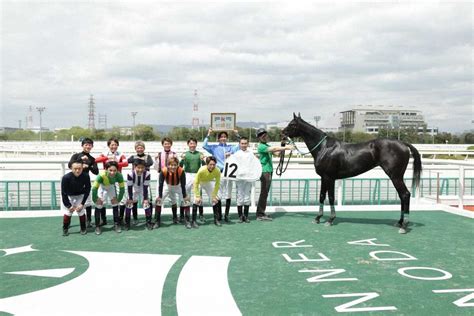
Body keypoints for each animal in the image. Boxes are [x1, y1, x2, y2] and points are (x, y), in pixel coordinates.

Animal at [282, 112, 422, 233]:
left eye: (292, 124)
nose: (282, 133)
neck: (324, 148)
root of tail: (403, 143)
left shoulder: (329, 177)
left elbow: (331, 197)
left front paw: (330, 220)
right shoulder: (323, 178)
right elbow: (321, 196)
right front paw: (317, 218)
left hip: (395, 176)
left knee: (405, 195)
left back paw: (404, 226)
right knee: (402, 196)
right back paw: (399, 222)